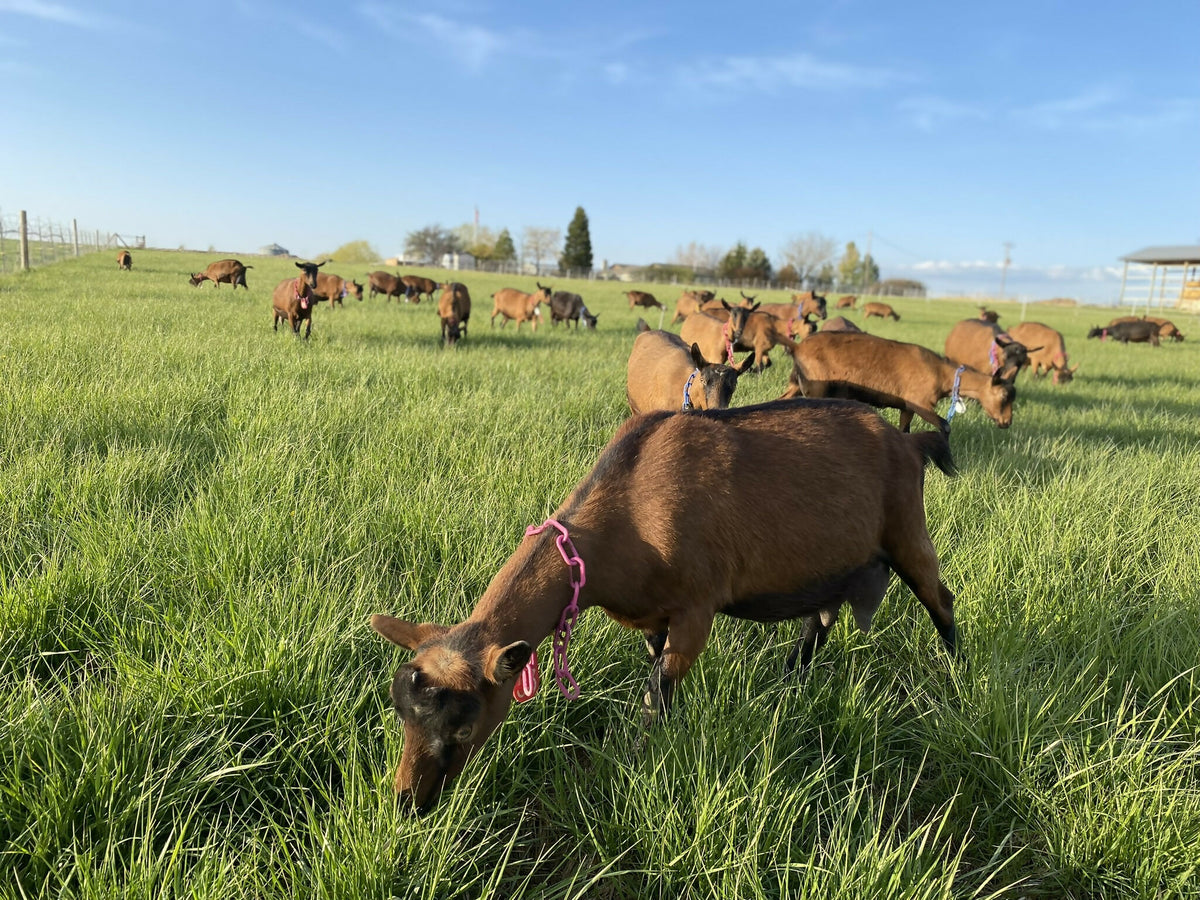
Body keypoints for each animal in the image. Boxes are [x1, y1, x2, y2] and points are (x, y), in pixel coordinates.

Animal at [370, 397, 958, 812]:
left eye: (463, 728)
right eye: (401, 714)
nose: (407, 803)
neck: (626, 515)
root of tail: (911, 443)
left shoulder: (697, 608)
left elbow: (658, 696)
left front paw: (637, 763)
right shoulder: (653, 616)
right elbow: (658, 682)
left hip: (908, 530)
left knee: (942, 600)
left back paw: (956, 683)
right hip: (834, 567)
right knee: (820, 620)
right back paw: (791, 682)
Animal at [781, 331, 1016, 431]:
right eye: (1004, 396)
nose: (1006, 422)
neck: (944, 373)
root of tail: (798, 347)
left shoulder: (907, 407)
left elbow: (904, 429)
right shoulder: (920, 402)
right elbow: (945, 425)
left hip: (797, 384)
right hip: (817, 388)